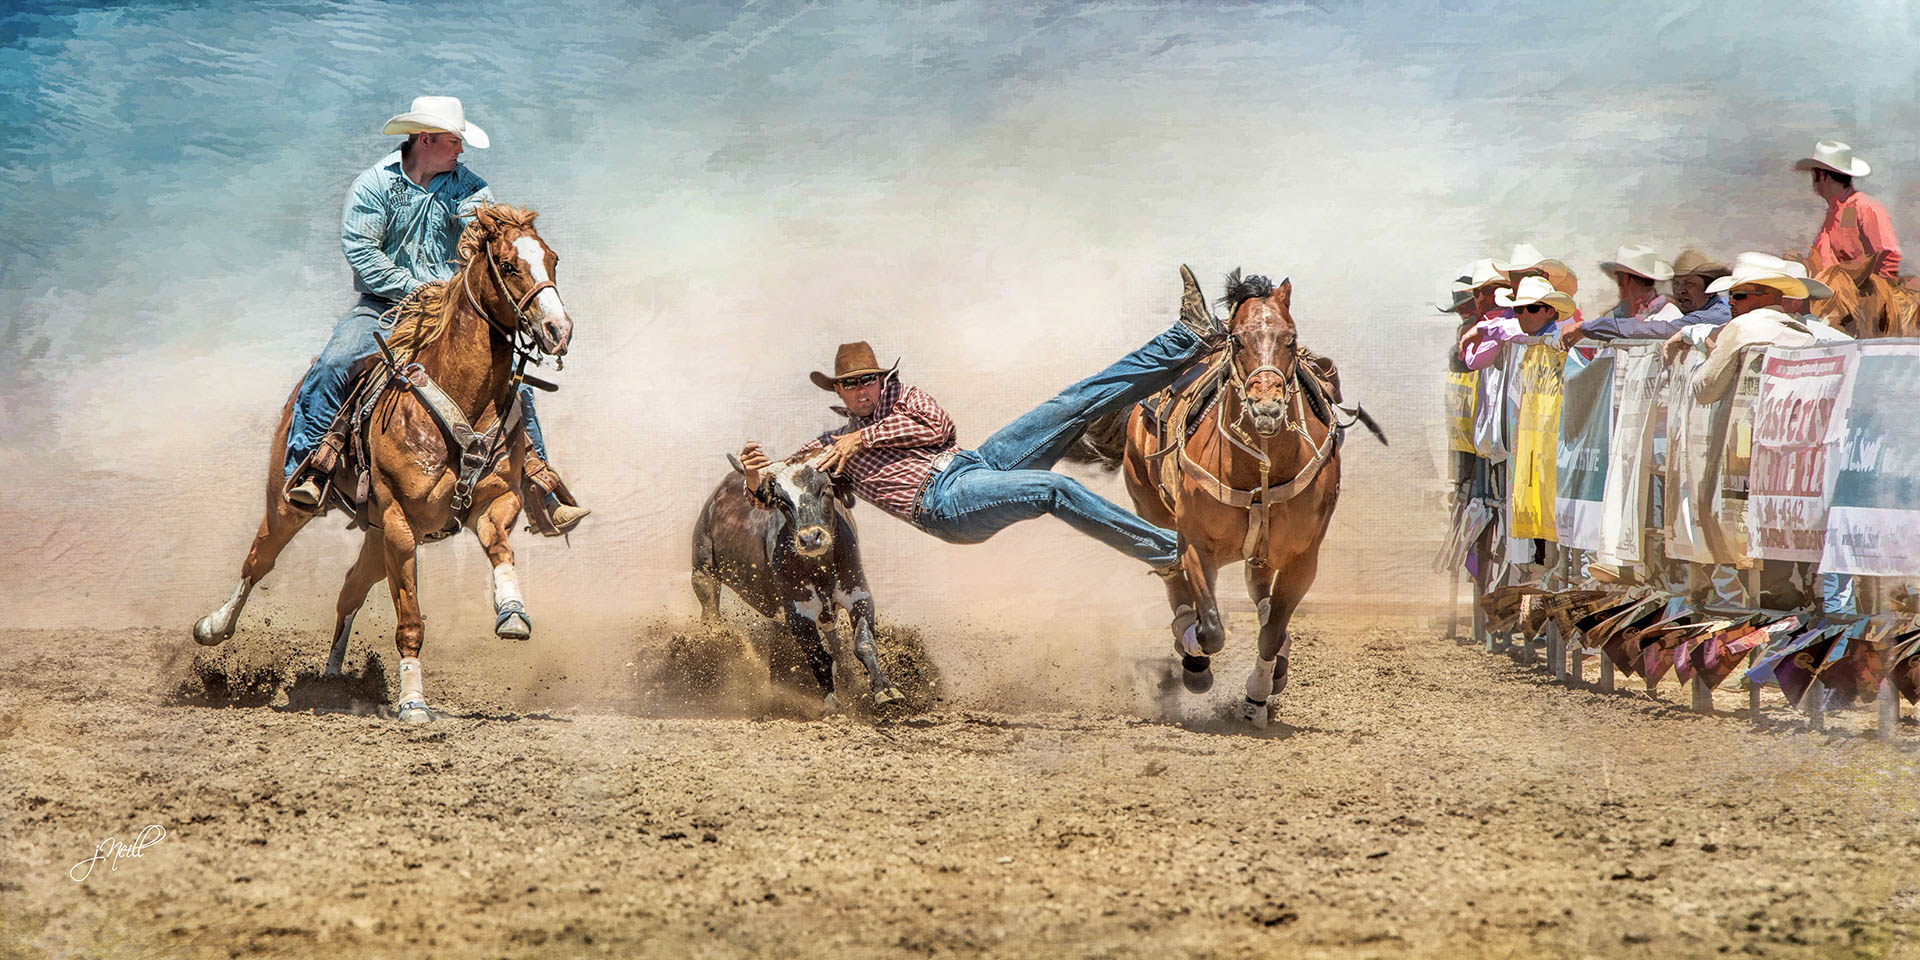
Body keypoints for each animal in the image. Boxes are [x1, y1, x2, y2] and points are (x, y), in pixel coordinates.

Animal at [191, 206, 572, 721]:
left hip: (374, 535)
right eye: (509, 265)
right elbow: (410, 620)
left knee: (349, 588)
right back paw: (214, 626)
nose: (558, 330)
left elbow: (499, 548)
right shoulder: (399, 522)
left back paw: (331, 680)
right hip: (290, 505)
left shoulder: (494, 502)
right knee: (259, 560)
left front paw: (512, 613)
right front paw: (413, 704)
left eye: (552, 260)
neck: (462, 398)